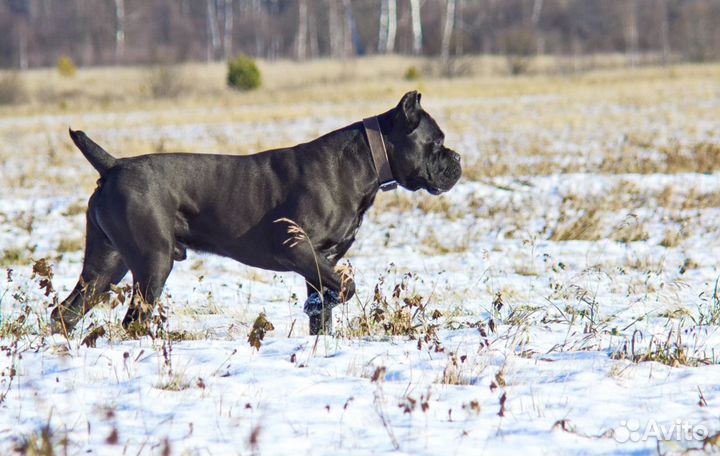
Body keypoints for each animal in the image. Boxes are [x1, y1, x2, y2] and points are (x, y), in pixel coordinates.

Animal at [53, 91, 464, 334]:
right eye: (437, 141)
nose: (457, 158)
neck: (363, 162)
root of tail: (113, 165)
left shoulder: (321, 260)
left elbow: (324, 307)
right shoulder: (295, 248)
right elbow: (346, 286)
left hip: (106, 265)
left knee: (66, 310)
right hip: (151, 262)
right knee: (133, 319)